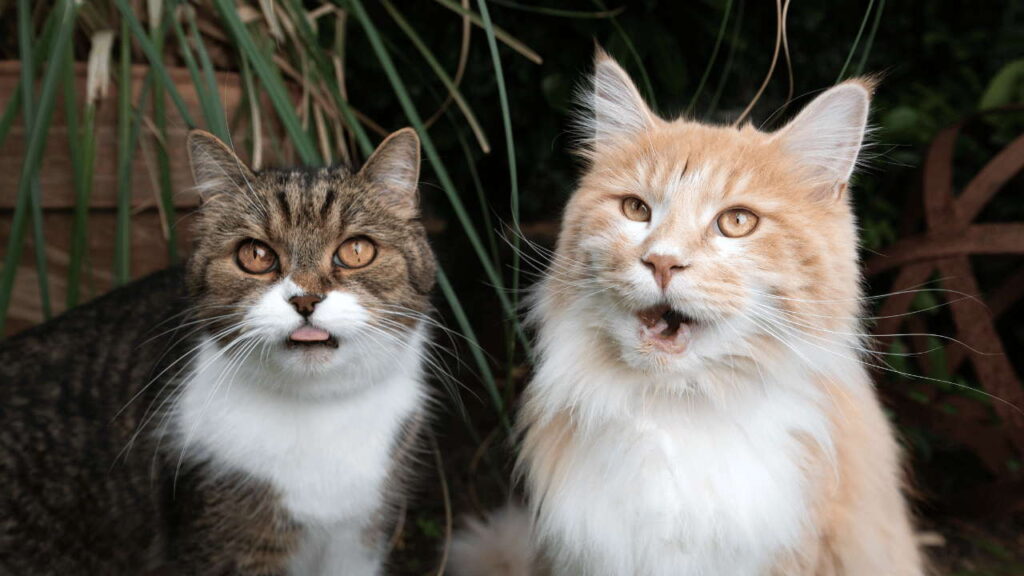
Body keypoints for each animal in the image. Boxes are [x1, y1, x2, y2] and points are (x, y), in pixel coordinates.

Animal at [0, 127, 436, 569]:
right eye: (256, 255)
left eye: (356, 251)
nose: (305, 300)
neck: (317, 411)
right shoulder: (227, 541)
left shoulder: (360, 539)